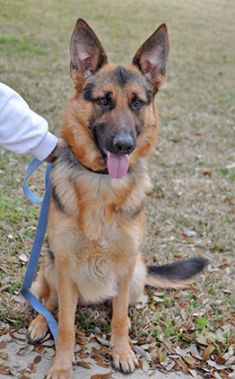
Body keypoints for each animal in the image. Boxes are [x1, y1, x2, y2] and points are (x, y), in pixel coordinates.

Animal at [27, 18, 207, 379]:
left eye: (137, 102)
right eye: (104, 101)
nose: (124, 145)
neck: (102, 184)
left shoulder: (125, 266)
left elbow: (120, 317)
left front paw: (121, 351)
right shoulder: (65, 266)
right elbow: (65, 325)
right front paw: (62, 365)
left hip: (135, 275)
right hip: (51, 267)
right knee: (49, 302)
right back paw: (41, 323)